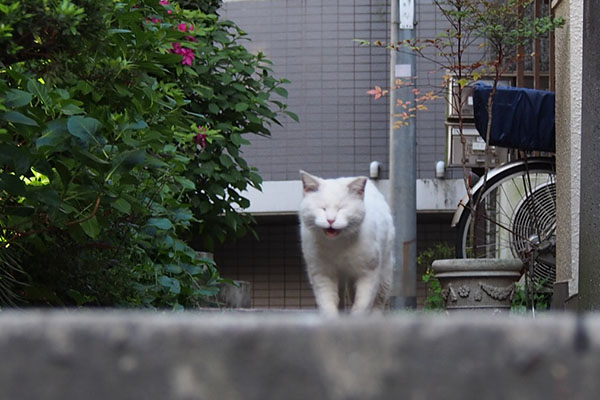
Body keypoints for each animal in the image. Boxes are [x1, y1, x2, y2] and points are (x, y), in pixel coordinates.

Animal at [298, 170, 394, 314]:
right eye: (322, 208)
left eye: (341, 209)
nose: (330, 220)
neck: (337, 245)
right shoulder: (321, 274)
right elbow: (328, 304)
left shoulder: (368, 273)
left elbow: (362, 305)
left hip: (385, 272)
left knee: (378, 302)